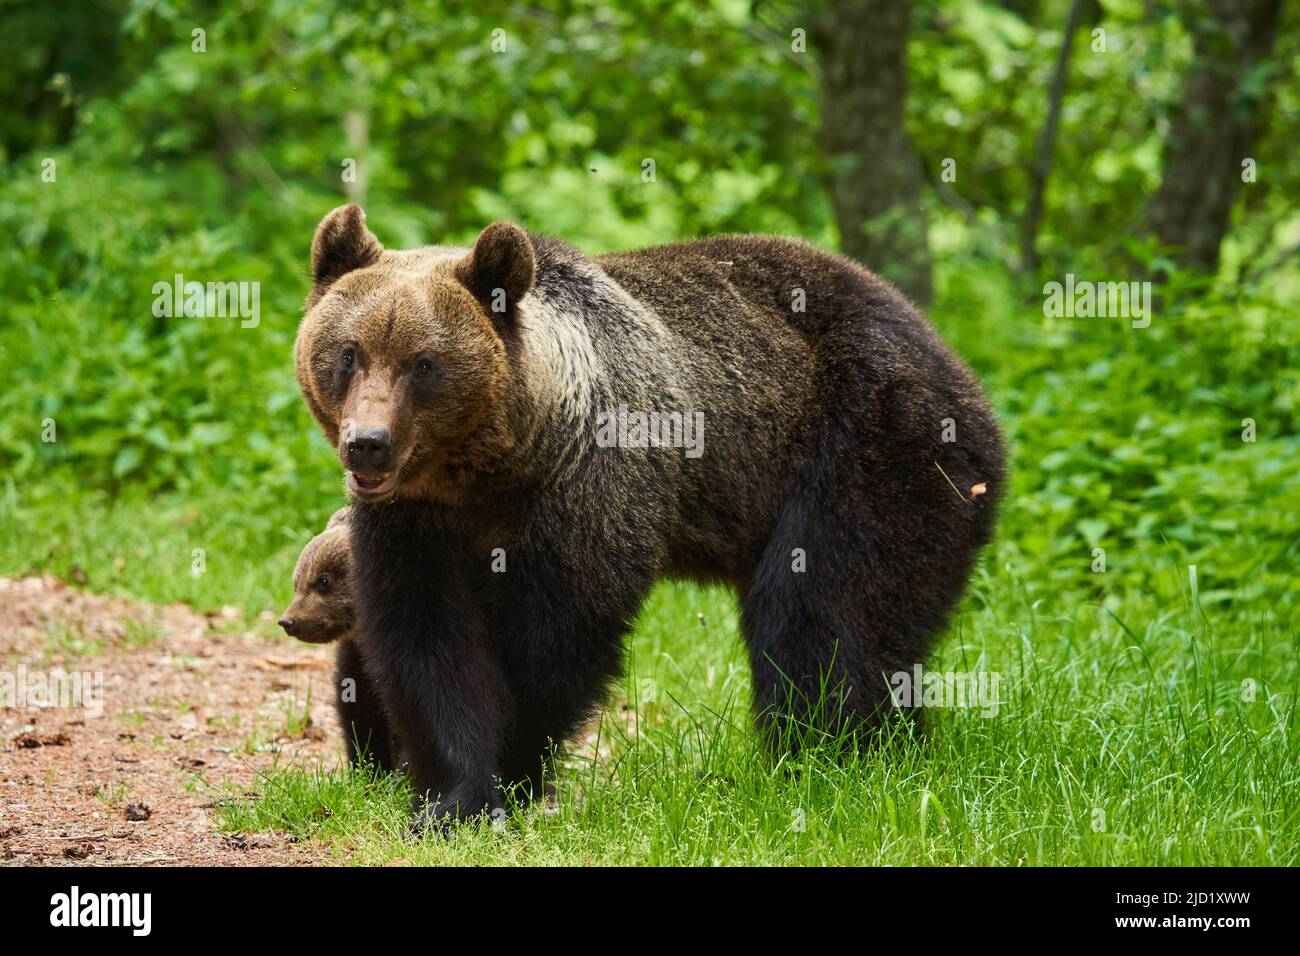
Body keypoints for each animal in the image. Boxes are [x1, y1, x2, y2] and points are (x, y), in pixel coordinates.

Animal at [278, 506, 397, 772]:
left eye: (323, 580)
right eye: (296, 582)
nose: (288, 621)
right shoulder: (355, 658)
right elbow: (359, 711)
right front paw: (369, 768)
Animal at [293, 204, 1005, 828]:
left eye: (424, 363)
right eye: (349, 352)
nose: (367, 442)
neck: (494, 466)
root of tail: (958, 367)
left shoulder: (584, 492)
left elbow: (553, 639)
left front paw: (514, 776)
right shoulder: (413, 523)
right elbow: (426, 642)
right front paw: (452, 797)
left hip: (868, 444)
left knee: (821, 614)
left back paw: (828, 760)